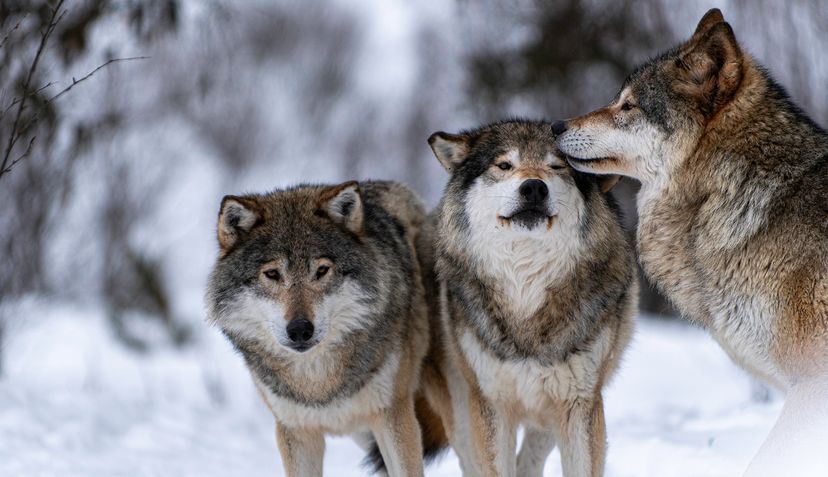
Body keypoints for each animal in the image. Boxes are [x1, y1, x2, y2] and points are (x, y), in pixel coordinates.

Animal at [205, 180, 448, 476]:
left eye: (321, 271)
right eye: (272, 274)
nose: (300, 329)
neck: (318, 383)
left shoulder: (393, 415)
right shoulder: (296, 432)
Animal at [427, 120, 637, 477]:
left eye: (557, 166)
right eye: (504, 166)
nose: (534, 188)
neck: (526, 289)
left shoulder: (579, 405)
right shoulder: (491, 405)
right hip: (463, 413)